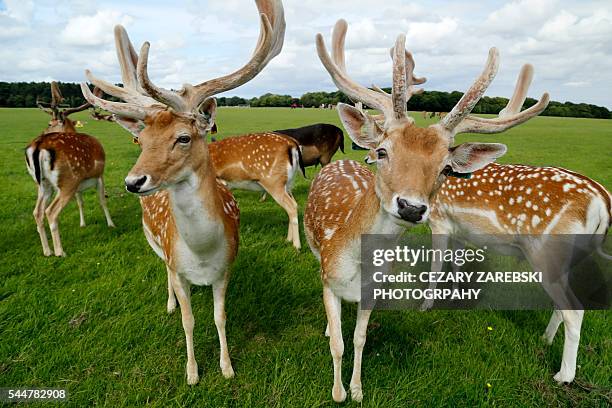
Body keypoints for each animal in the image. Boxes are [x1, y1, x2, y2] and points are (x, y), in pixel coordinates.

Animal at [24, 81, 115, 256]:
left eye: (49, 123)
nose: (43, 131)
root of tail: (38, 146)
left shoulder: (79, 186)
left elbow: (80, 202)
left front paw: (82, 224)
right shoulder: (99, 174)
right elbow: (102, 200)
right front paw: (111, 224)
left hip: (43, 184)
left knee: (37, 212)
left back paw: (47, 251)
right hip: (67, 181)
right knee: (51, 212)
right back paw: (60, 252)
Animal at [77, 0, 286, 382]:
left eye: (184, 138)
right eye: (141, 140)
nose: (133, 182)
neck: (202, 254)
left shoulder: (225, 269)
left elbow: (220, 317)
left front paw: (227, 367)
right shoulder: (178, 266)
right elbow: (189, 320)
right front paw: (192, 372)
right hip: (155, 243)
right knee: (165, 273)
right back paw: (170, 303)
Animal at [304, 19, 548, 402]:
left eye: (445, 168)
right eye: (383, 151)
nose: (411, 207)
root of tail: (341, 161)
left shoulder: (373, 291)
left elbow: (359, 339)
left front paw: (357, 390)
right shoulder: (328, 278)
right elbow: (339, 344)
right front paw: (338, 392)